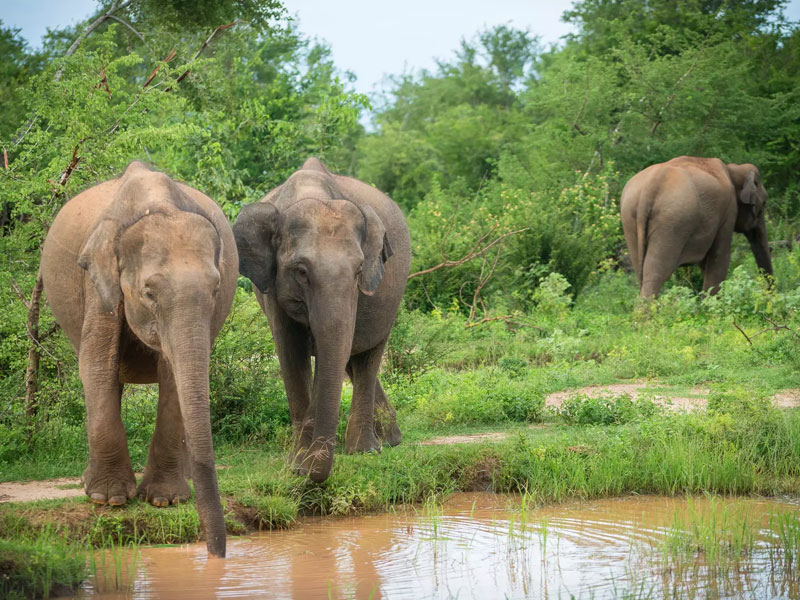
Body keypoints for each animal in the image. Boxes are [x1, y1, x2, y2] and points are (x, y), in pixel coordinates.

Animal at [40, 161, 237, 557]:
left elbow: (172, 374)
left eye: (216, 289)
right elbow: (96, 364)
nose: (217, 556)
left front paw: (165, 501)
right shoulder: (97, 279)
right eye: (148, 293)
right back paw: (92, 485)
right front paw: (110, 500)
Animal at [232, 157, 411, 483]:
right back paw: (388, 439)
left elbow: (337, 347)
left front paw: (303, 464)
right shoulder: (272, 285)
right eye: (301, 272)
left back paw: (367, 449)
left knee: (367, 356)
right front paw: (298, 465)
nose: (308, 471)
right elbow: (292, 353)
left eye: (358, 270)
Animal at [620, 156, 773, 297]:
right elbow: (719, 258)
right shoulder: (728, 213)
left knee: (641, 272)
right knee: (656, 274)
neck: (733, 169)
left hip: (630, 218)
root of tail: (649, 188)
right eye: (764, 203)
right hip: (672, 223)